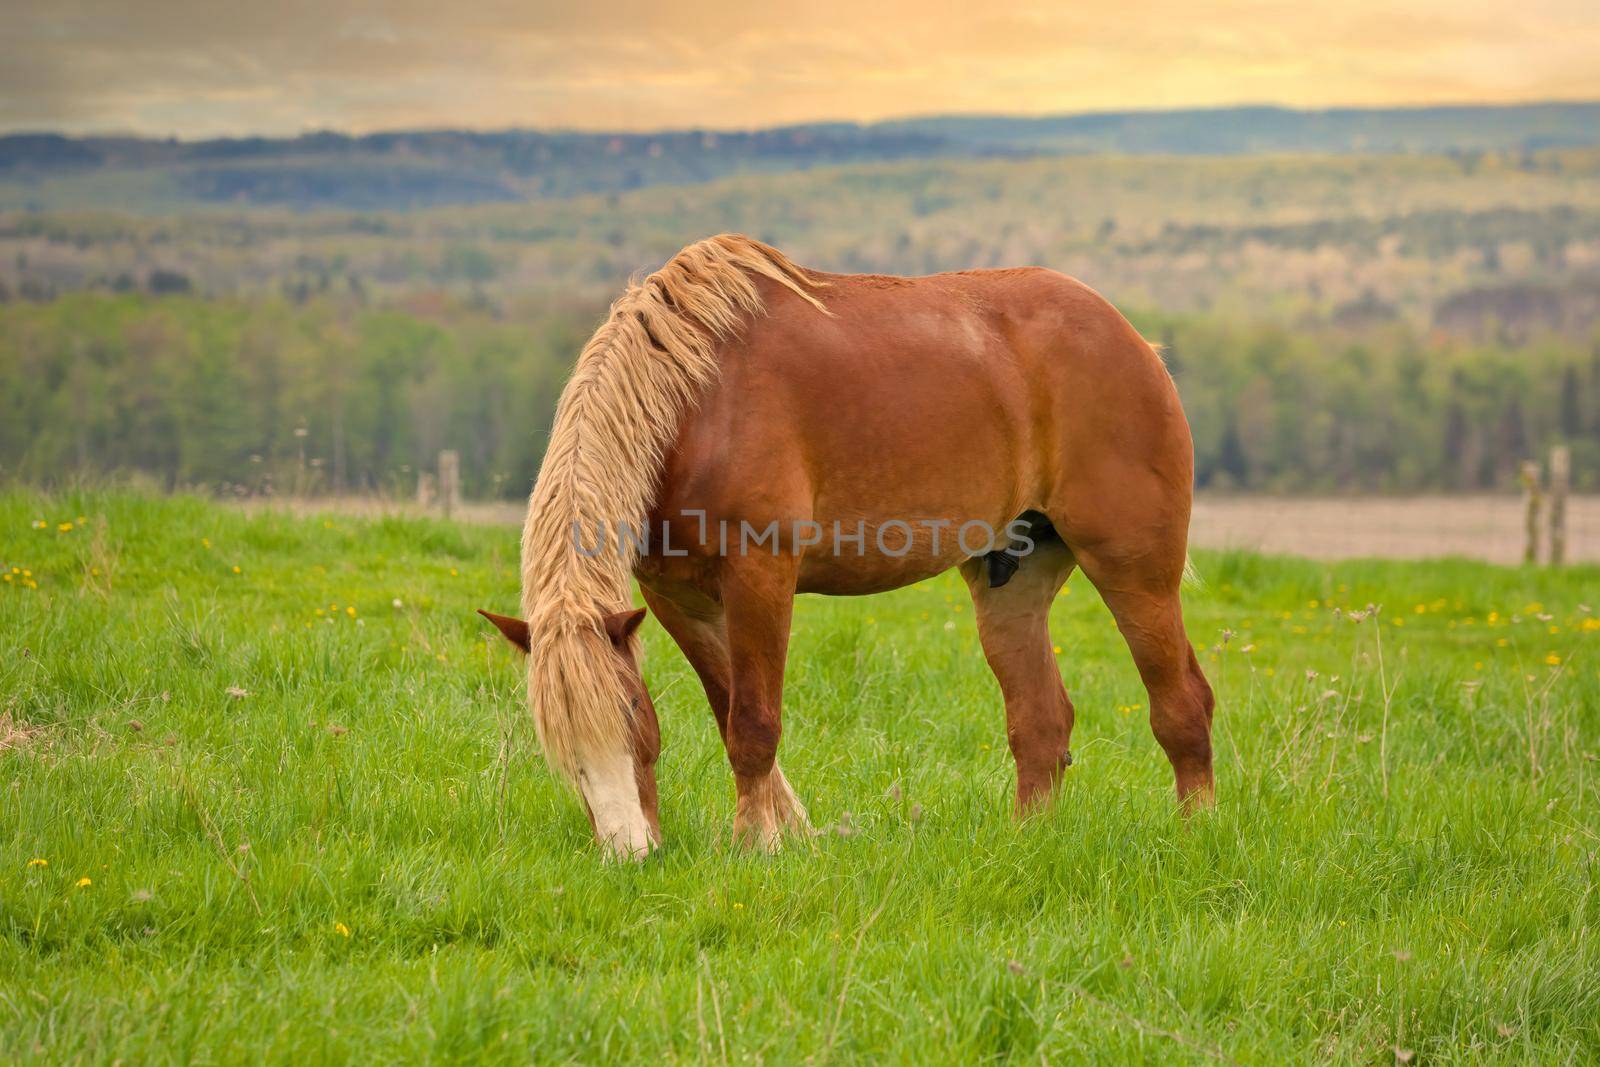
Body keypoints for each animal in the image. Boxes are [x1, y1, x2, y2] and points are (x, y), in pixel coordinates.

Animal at [473, 235, 1209, 857]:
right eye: (555, 735)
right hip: (1013, 582)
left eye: (627, 709)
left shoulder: (761, 574)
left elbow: (753, 723)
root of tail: (1134, 340)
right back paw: (1030, 844)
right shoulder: (677, 597)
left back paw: (1195, 837)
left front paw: (756, 845)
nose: (630, 852)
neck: (697, 403)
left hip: (1133, 569)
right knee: (1041, 725)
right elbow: (726, 710)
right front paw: (789, 831)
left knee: (1183, 705)